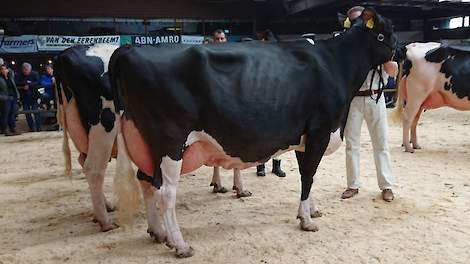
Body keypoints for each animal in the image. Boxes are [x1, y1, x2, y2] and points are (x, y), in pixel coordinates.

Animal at [109, 7, 396, 258]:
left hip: (146, 143)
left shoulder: (304, 136)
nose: (400, 51)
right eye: (386, 32)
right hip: (170, 141)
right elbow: (308, 176)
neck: (336, 63)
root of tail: (128, 49)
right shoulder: (320, 131)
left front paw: (312, 210)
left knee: (146, 181)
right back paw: (180, 244)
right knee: (165, 192)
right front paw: (305, 219)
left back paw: (158, 232)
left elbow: (308, 175)